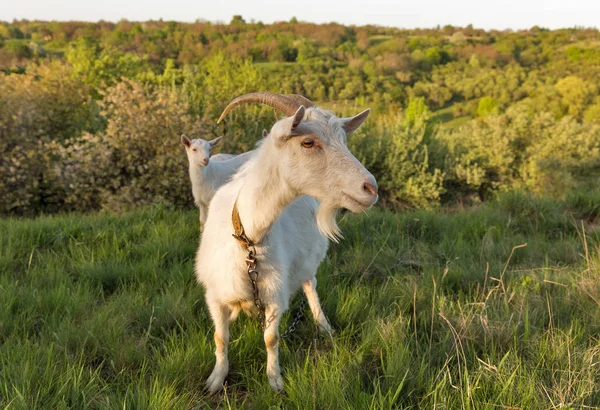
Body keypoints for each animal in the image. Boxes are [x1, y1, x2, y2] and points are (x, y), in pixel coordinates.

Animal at [195, 91, 378, 392]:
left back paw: (323, 325)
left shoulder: (274, 295)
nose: (371, 188)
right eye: (308, 142)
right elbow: (220, 337)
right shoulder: (215, 293)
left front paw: (274, 381)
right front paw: (216, 379)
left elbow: (272, 339)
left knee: (310, 283)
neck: (248, 241)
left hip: (308, 260)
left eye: (344, 140)